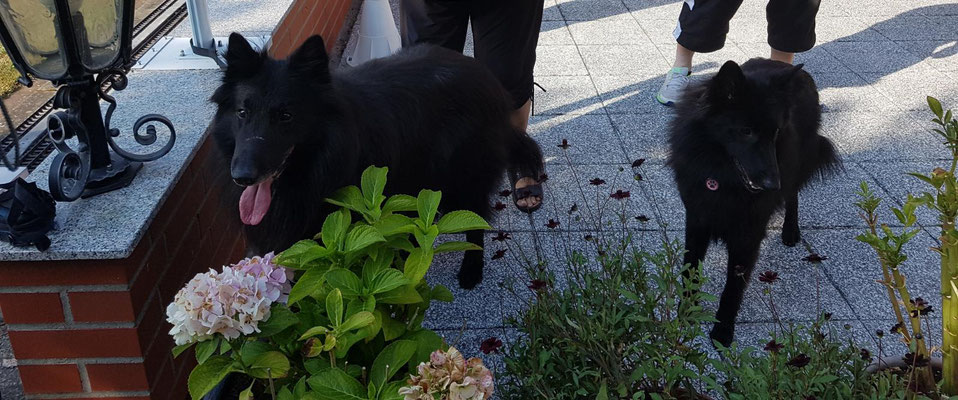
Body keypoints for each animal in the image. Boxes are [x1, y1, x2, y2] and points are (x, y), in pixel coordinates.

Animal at [207, 33, 544, 288]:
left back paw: (471, 268)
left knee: (475, 222)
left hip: (465, 177)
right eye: (242, 112)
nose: (243, 176)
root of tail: (483, 73)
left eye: (286, 116)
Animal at [668, 57, 840, 346]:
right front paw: (686, 312)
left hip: (793, 165)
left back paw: (790, 230)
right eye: (746, 131)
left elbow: (733, 287)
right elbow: (690, 270)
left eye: (775, 132)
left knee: (792, 195)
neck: (722, 176)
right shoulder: (696, 220)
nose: (772, 185)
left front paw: (723, 330)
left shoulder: (747, 233)